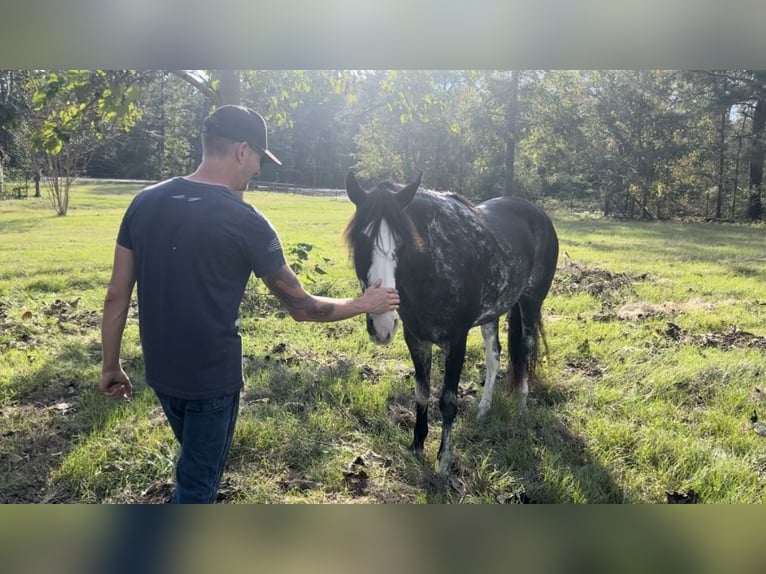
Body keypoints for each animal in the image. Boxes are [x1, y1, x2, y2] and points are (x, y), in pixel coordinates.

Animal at [344, 171, 559, 474]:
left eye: (403, 243)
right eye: (360, 242)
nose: (382, 324)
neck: (434, 267)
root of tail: (538, 214)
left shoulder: (456, 341)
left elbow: (447, 400)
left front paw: (444, 460)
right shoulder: (416, 339)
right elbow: (422, 392)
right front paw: (417, 447)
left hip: (530, 303)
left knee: (526, 351)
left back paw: (521, 408)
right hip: (492, 313)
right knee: (494, 356)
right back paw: (483, 410)